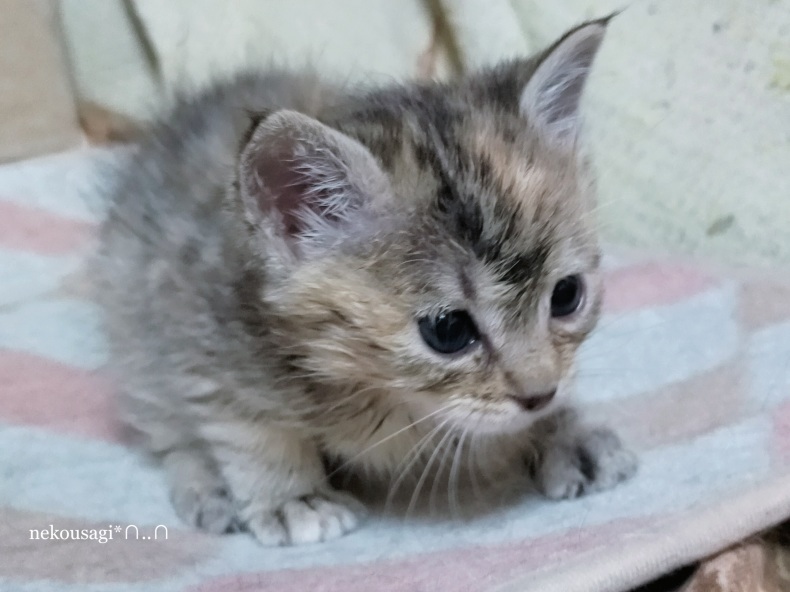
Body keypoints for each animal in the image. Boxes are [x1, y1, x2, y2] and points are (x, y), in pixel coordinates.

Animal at [93, 18, 636, 544]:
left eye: (566, 296)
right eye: (448, 331)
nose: (539, 394)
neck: (375, 389)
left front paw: (563, 433)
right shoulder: (201, 338)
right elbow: (250, 429)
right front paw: (292, 497)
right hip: (135, 333)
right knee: (168, 430)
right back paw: (210, 486)